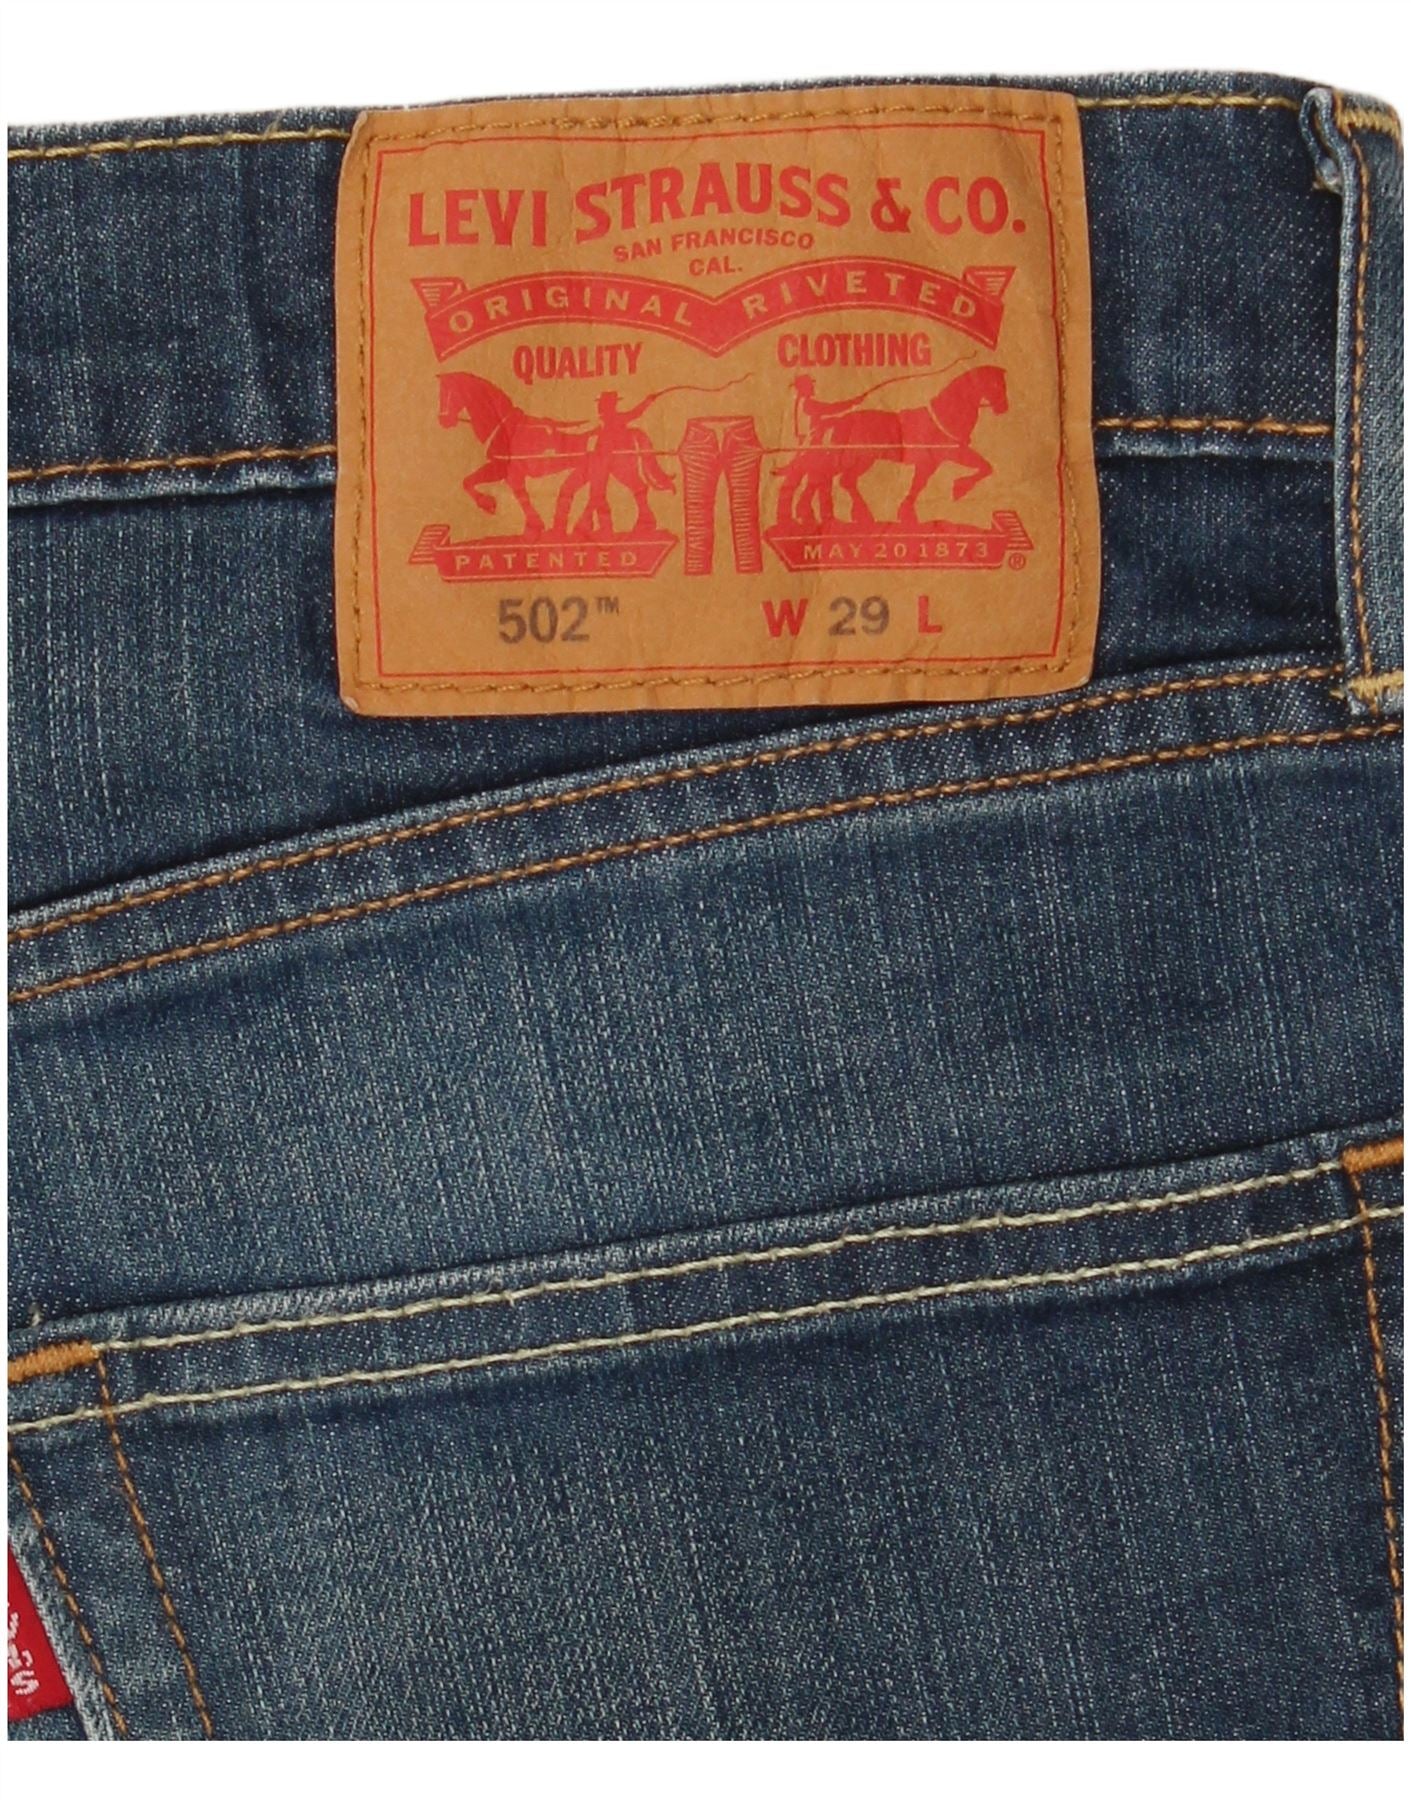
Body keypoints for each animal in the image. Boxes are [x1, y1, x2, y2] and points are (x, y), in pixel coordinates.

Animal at [437, 373, 672, 537]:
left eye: (448, 394)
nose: (444, 421)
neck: (507, 427)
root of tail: (625, 428)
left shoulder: (508, 472)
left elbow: (511, 493)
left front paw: (494, 507)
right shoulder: (504, 471)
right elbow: (472, 482)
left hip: (620, 468)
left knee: (637, 488)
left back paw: (642, 527)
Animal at [774, 365, 1009, 530]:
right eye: (997, 385)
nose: (1003, 408)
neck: (943, 418)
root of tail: (838, 421)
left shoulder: (939, 459)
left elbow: (983, 467)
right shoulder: (936, 459)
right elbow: (981, 467)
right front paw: (959, 489)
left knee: (830, 479)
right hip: (856, 458)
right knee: (827, 478)